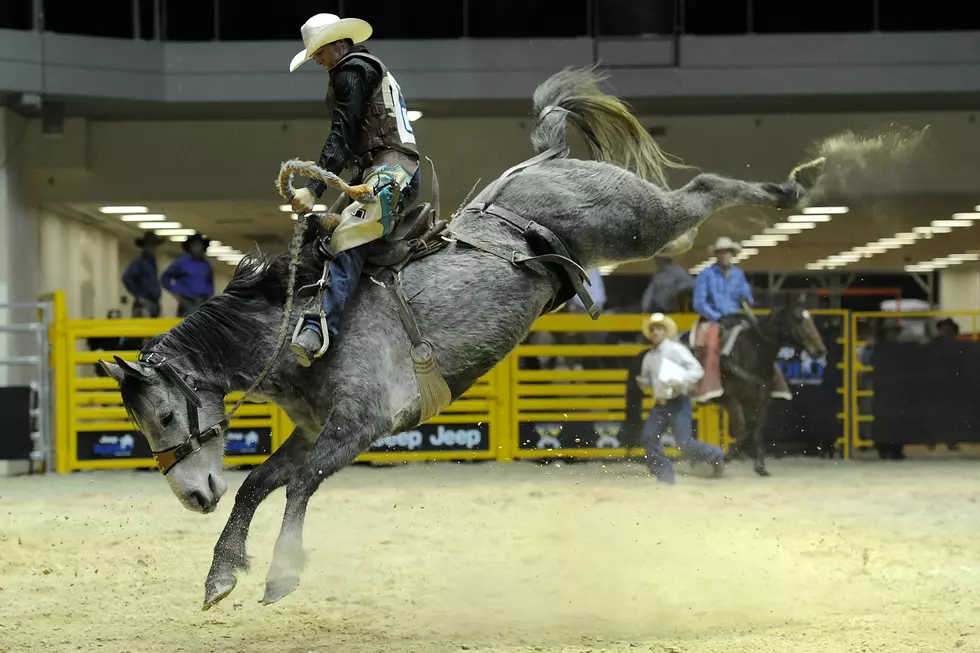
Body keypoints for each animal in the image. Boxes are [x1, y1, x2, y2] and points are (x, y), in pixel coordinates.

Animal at [97, 66, 828, 608]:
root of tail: (547, 157)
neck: (298, 329)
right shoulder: (313, 429)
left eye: (165, 415)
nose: (193, 496)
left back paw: (796, 186)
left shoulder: (360, 425)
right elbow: (258, 483)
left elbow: (300, 486)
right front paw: (221, 574)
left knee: (700, 189)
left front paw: (281, 575)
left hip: (637, 220)